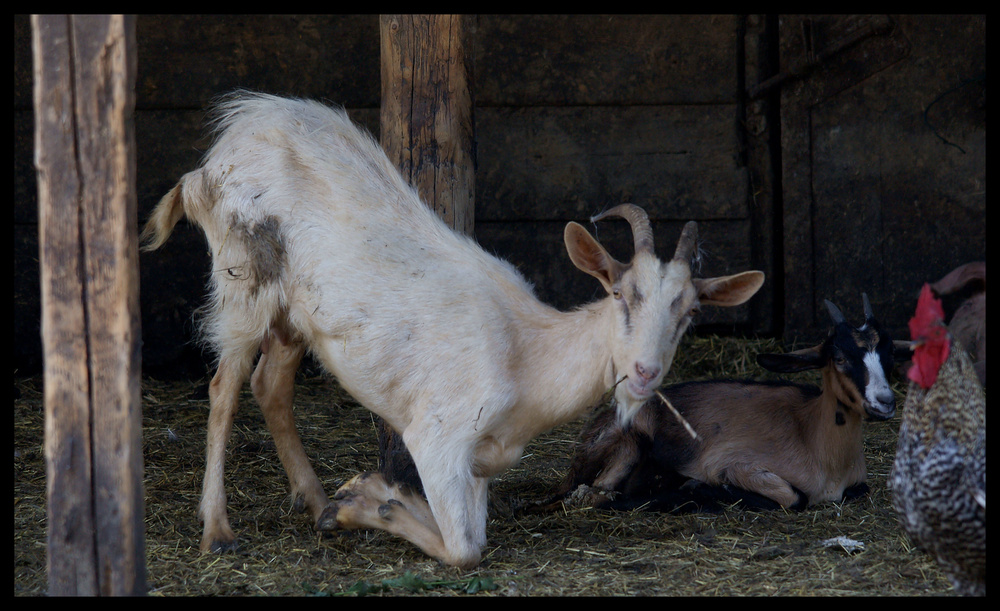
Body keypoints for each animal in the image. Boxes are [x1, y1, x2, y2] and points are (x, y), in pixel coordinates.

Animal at [143, 92, 764, 568]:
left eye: (690, 314)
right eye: (620, 294)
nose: (644, 372)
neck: (527, 353)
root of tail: (213, 158)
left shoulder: (482, 462)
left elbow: (471, 534)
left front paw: (360, 500)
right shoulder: (439, 437)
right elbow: (465, 550)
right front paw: (370, 500)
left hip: (294, 315)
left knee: (270, 385)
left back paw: (317, 503)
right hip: (242, 279)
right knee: (224, 388)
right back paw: (219, 531)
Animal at [544, 296, 912, 512]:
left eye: (890, 354)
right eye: (839, 357)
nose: (885, 402)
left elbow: (857, 490)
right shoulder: (736, 464)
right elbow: (792, 497)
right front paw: (702, 487)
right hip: (627, 443)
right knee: (592, 492)